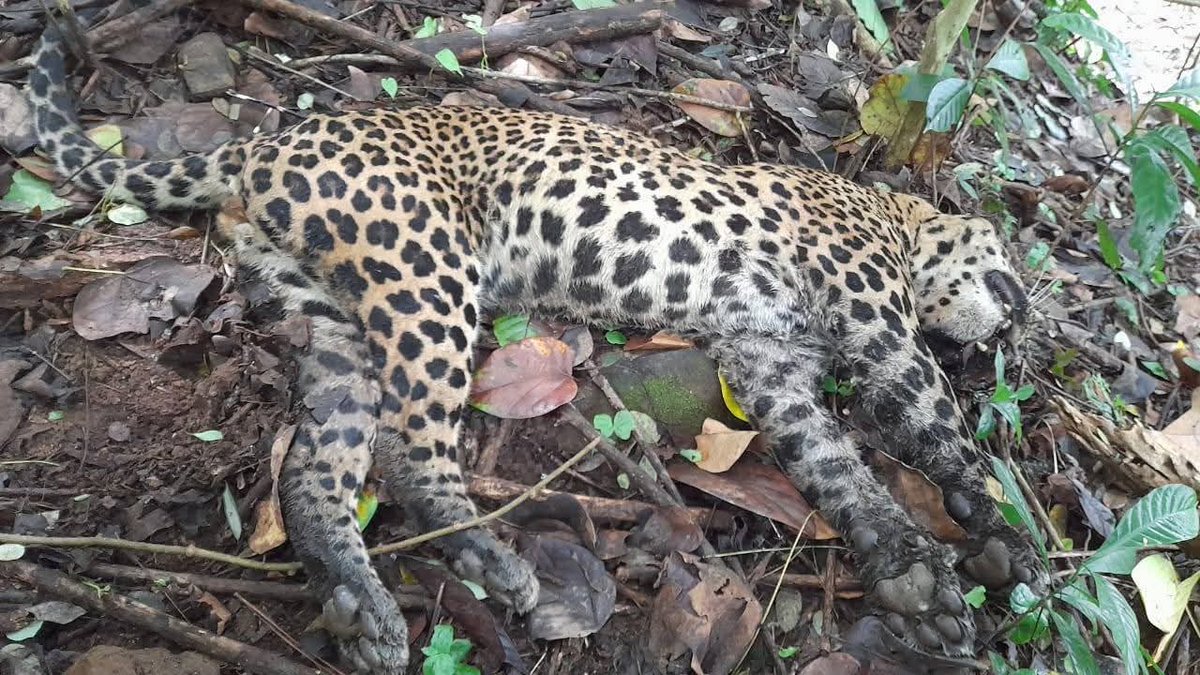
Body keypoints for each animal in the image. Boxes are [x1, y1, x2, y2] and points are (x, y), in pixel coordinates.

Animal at [25, 15, 1047, 673]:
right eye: (1008, 265)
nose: (1026, 315)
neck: (896, 220)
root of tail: (264, 145)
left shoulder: (771, 366)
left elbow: (840, 467)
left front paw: (916, 575)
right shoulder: (873, 314)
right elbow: (933, 417)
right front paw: (1005, 531)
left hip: (328, 313)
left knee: (318, 467)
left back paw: (362, 607)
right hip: (424, 268)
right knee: (405, 443)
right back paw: (496, 564)